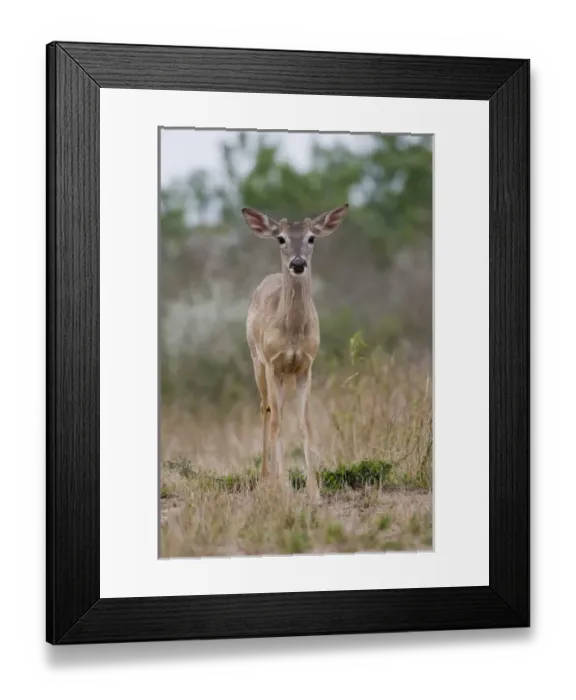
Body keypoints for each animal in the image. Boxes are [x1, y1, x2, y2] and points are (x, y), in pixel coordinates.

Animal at [241, 204, 349, 499]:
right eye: (281, 238)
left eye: (312, 238)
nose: (298, 263)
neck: (292, 335)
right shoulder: (271, 362)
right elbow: (276, 420)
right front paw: (283, 487)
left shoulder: (306, 365)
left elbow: (305, 424)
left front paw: (313, 491)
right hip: (256, 361)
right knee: (266, 409)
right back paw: (266, 478)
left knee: (279, 410)